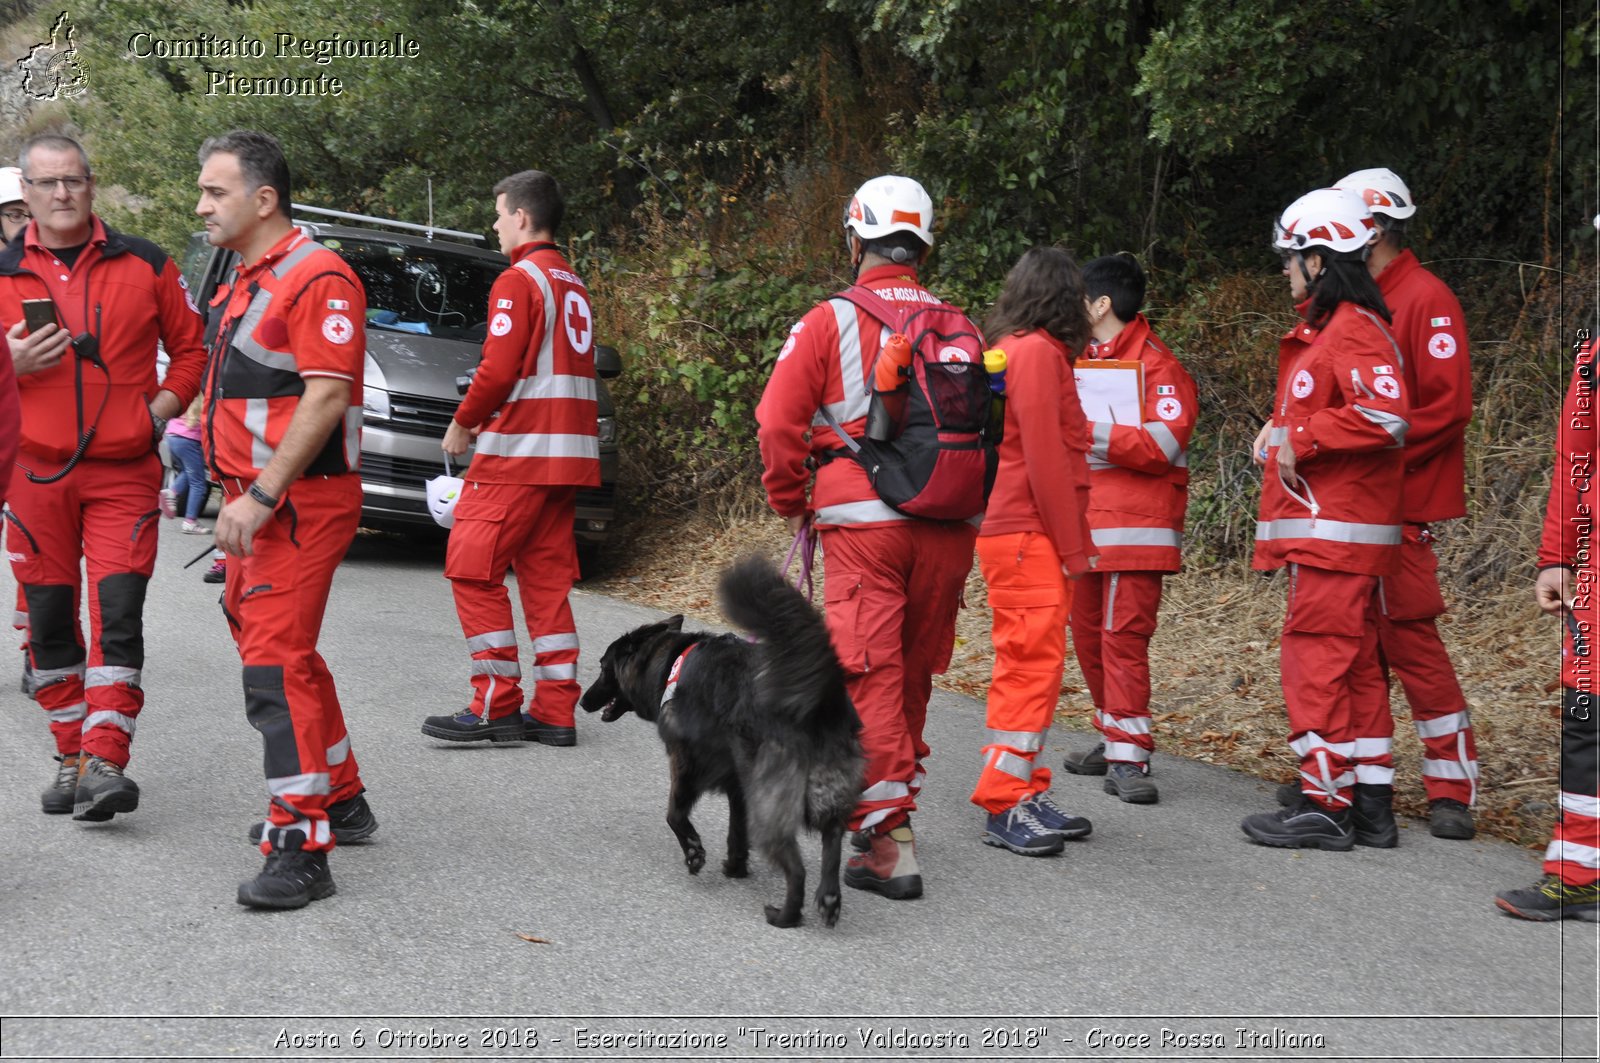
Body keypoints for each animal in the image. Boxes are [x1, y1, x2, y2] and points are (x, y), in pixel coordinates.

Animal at [582, 557, 864, 922]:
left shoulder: (686, 765)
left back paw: (785, 916)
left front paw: (694, 852)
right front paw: (735, 866)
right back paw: (829, 899)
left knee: (796, 866)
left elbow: (674, 815)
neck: (670, 665)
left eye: (604, 667)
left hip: (768, 800)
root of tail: (815, 699)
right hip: (821, 791)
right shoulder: (736, 785)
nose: (582, 701)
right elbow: (736, 830)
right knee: (832, 844)